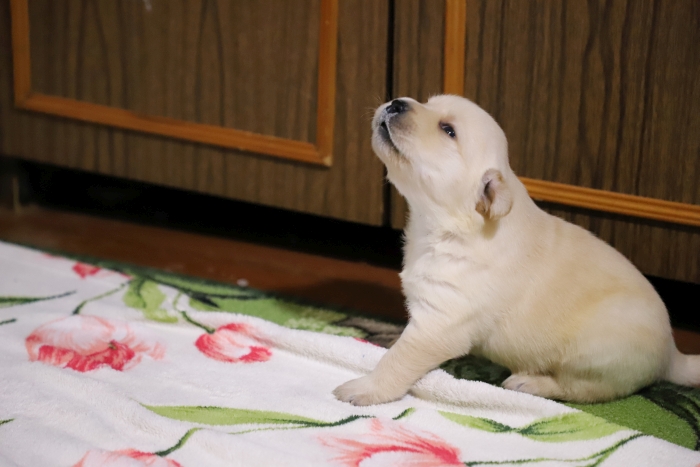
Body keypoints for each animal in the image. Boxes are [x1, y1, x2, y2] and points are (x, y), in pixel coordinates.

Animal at [334, 96, 700, 406]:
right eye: (426, 101)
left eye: (448, 130)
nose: (397, 102)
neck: (444, 224)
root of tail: (672, 354)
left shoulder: (439, 322)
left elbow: (399, 359)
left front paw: (364, 388)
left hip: (594, 354)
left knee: (582, 390)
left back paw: (529, 382)